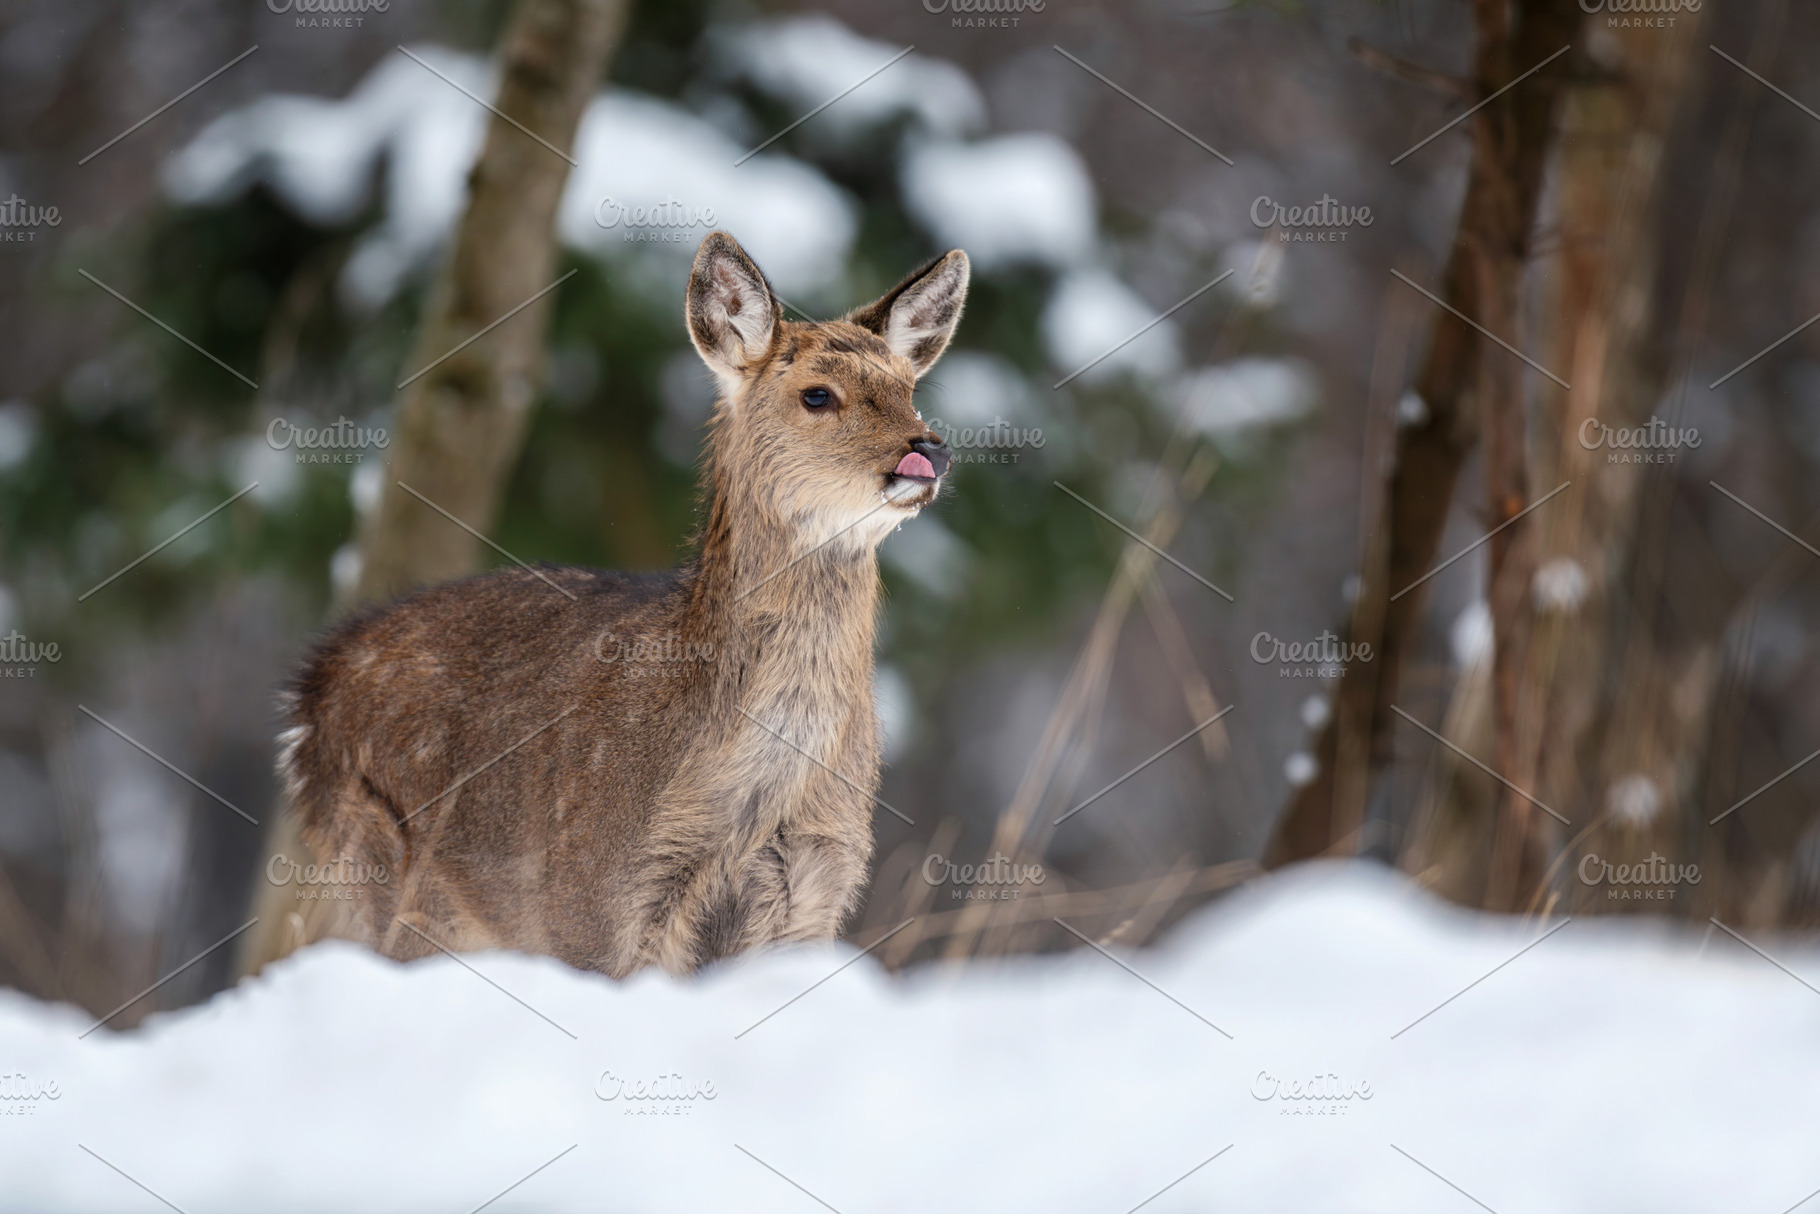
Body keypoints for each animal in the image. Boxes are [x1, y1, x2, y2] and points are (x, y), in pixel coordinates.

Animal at [277, 231, 966, 977]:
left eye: (909, 389)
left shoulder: (816, 887)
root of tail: (308, 692)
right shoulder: (590, 895)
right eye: (817, 395)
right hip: (391, 870)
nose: (929, 449)